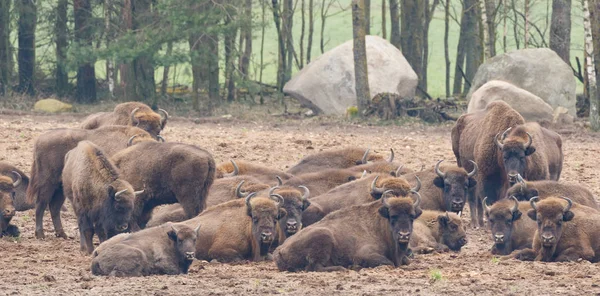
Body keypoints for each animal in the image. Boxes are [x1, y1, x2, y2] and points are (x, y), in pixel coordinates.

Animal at [29, 126, 157, 239]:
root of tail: (40, 139)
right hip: (47, 183)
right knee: (41, 204)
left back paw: (62, 234)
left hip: (60, 188)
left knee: (54, 207)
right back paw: (40, 234)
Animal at [274, 191, 422, 272]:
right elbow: (388, 263)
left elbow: (406, 261)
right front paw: (355, 266)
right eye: (393, 216)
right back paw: (343, 268)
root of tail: (279, 249)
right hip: (324, 236)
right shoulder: (365, 254)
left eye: (412, 216)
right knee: (315, 267)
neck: (380, 226)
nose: (404, 235)